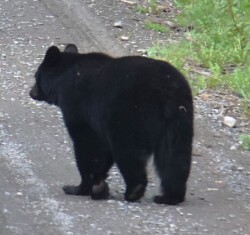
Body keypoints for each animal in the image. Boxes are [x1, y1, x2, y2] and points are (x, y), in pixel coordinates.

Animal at [29, 44, 193, 206]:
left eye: (36, 76)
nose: (31, 92)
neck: (65, 78)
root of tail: (166, 90)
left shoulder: (78, 109)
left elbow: (87, 146)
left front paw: (80, 187)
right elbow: (103, 149)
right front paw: (99, 185)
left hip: (130, 117)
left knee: (128, 151)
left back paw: (134, 191)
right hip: (179, 120)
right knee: (174, 156)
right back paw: (169, 197)